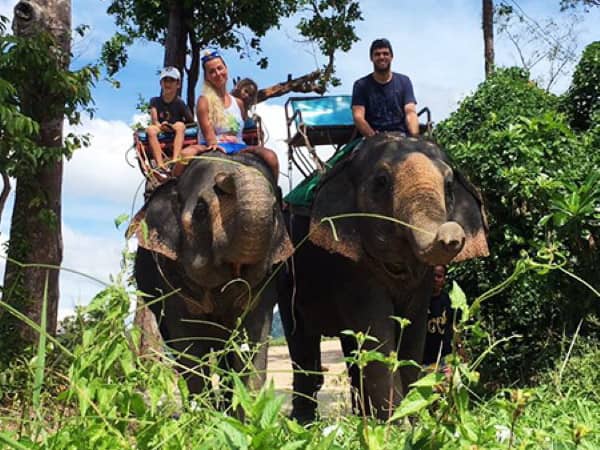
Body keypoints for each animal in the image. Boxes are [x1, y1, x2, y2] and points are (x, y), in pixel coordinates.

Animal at [131, 153, 292, 396]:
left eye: (275, 212)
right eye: (200, 211)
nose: (225, 174)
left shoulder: (268, 284)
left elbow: (254, 343)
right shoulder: (172, 281)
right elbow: (190, 349)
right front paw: (204, 406)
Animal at [278, 134, 490, 422]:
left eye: (448, 185)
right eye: (381, 182)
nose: (452, 233)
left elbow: (413, 332)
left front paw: (414, 417)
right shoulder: (349, 262)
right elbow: (377, 330)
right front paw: (396, 424)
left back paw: (361, 418)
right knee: (300, 338)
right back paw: (305, 422)